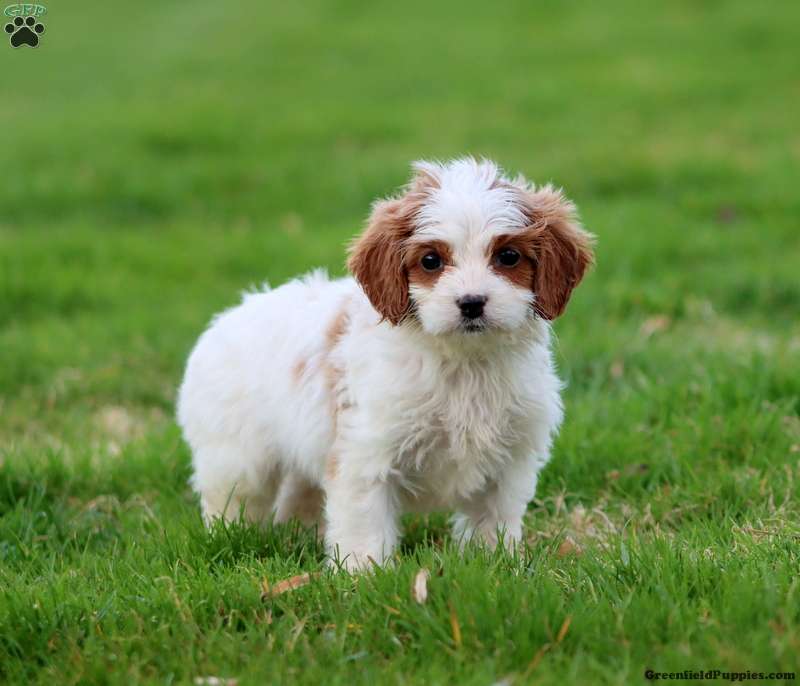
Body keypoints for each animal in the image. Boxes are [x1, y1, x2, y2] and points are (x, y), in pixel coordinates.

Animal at [177, 157, 594, 570]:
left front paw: (493, 563)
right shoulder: (366, 453)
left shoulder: (510, 459)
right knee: (232, 500)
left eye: (508, 257)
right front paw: (362, 573)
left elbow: (493, 519)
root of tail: (231, 314)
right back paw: (231, 537)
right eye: (431, 261)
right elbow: (364, 525)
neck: (463, 362)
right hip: (236, 457)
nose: (472, 302)